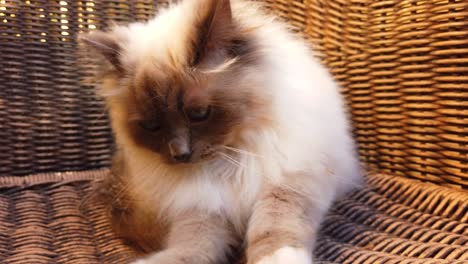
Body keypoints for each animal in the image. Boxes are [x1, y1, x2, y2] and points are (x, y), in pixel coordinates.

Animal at [78, 0, 362, 262]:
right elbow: (192, 247)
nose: (179, 154)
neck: (231, 164)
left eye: (199, 114)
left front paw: (277, 258)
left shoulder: (288, 182)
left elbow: (274, 228)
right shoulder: (202, 206)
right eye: (151, 127)